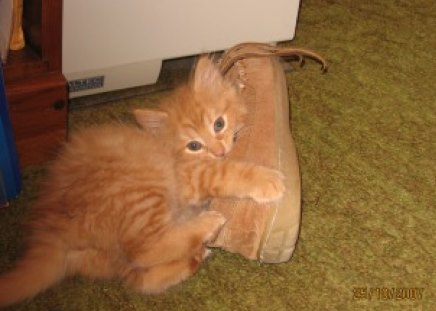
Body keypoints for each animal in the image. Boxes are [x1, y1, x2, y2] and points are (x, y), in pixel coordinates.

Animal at [0, 55, 284, 308]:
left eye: (218, 124)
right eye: (194, 145)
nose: (220, 151)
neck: (169, 150)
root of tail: (49, 226)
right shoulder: (189, 177)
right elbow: (226, 173)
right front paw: (267, 180)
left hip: (105, 255)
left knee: (139, 278)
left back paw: (196, 254)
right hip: (141, 191)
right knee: (146, 249)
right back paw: (208, 224)